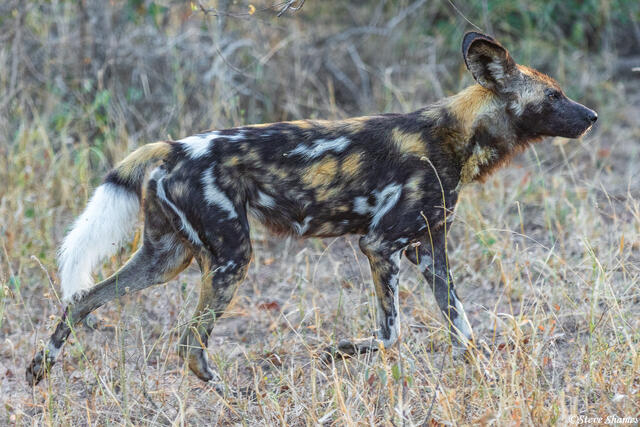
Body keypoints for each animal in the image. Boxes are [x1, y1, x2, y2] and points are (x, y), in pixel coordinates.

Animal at [27, 32, 597, 388]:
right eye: (553, 96)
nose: (591, 116)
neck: (458, 134)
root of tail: (169, 147)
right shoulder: (380, 245)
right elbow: (391, 334)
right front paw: (339, 352)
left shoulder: (429, 253)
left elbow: (464, 330)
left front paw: (484, 377)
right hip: (230, 259)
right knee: (190, 344)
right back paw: (238, 398)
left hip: (167, 259)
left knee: (83, 300)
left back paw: (38, 370)